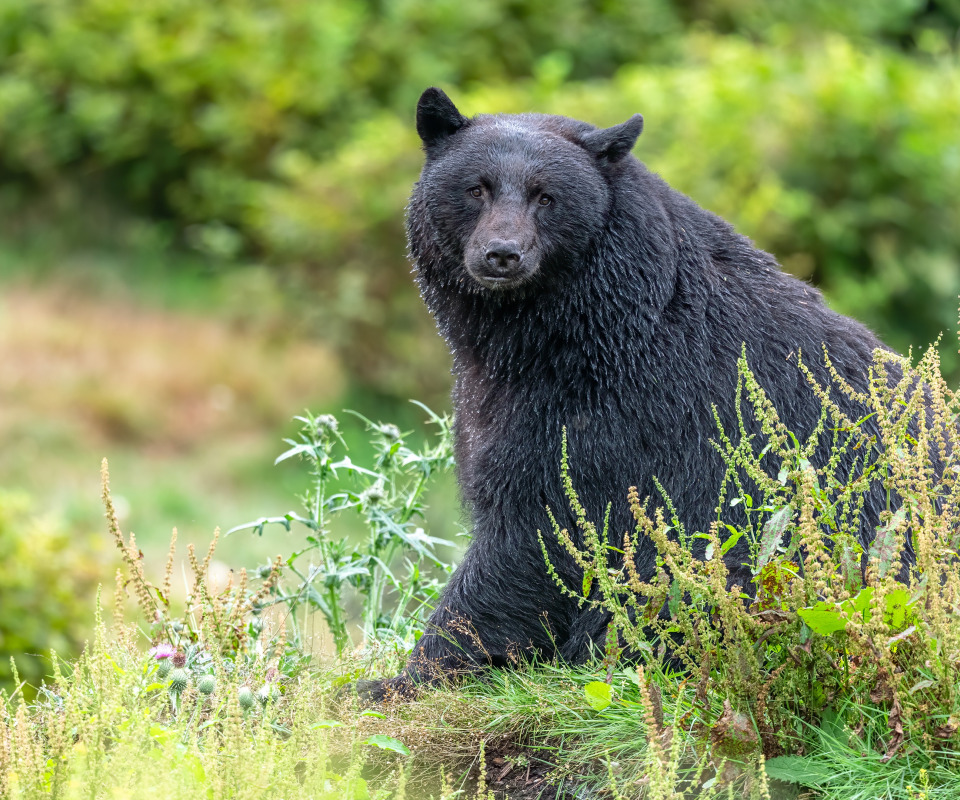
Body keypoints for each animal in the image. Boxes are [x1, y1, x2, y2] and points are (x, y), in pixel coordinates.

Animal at [368, 89, 900, 700]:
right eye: (475, 187)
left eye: (546, 196)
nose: (502, 254)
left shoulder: (615, 412)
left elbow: (538, 531)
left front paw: (403, 676)